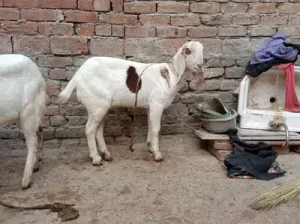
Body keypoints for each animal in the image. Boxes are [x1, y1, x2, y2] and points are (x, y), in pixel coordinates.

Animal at [58, 40, 204, 164]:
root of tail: (77, 76)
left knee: (98, 129)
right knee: (89, 129)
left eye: (202, 50)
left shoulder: (150, 106)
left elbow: (150, 125)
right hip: (96, 103)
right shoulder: (157, 104)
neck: (171, 75)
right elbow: (156, 129)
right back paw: (96, 158)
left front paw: (150, 148)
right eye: (188, 51)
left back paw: (106, 154)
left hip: (100, 106)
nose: (200, 65)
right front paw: (157, 154)